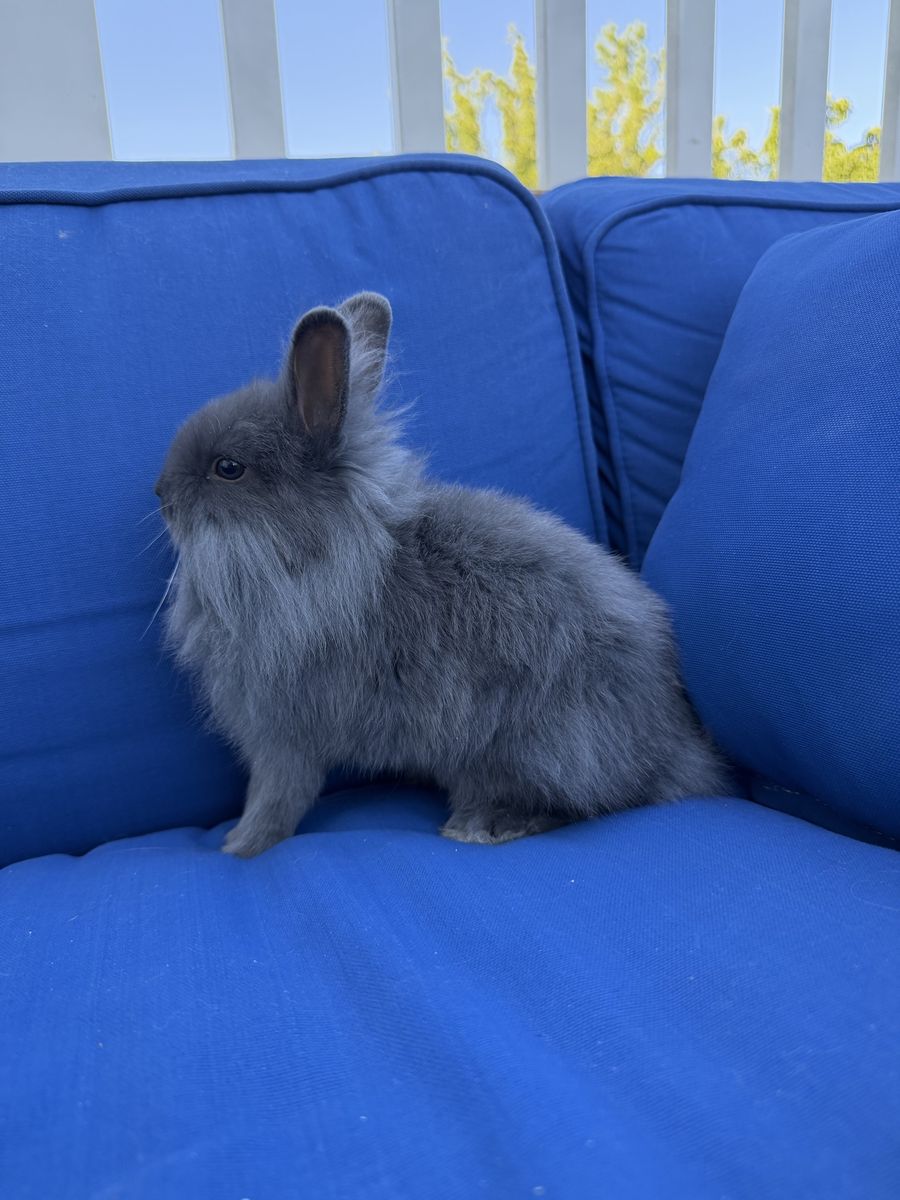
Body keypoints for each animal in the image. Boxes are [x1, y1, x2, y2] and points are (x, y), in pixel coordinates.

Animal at [155, 292, 724, 858]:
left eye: (228, 468)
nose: (161, 493)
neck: (315, 557)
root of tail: (676, 750)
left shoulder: (284, 734)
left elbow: (275, 798)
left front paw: (238, 846)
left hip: (532, 749)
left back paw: (484, 825)